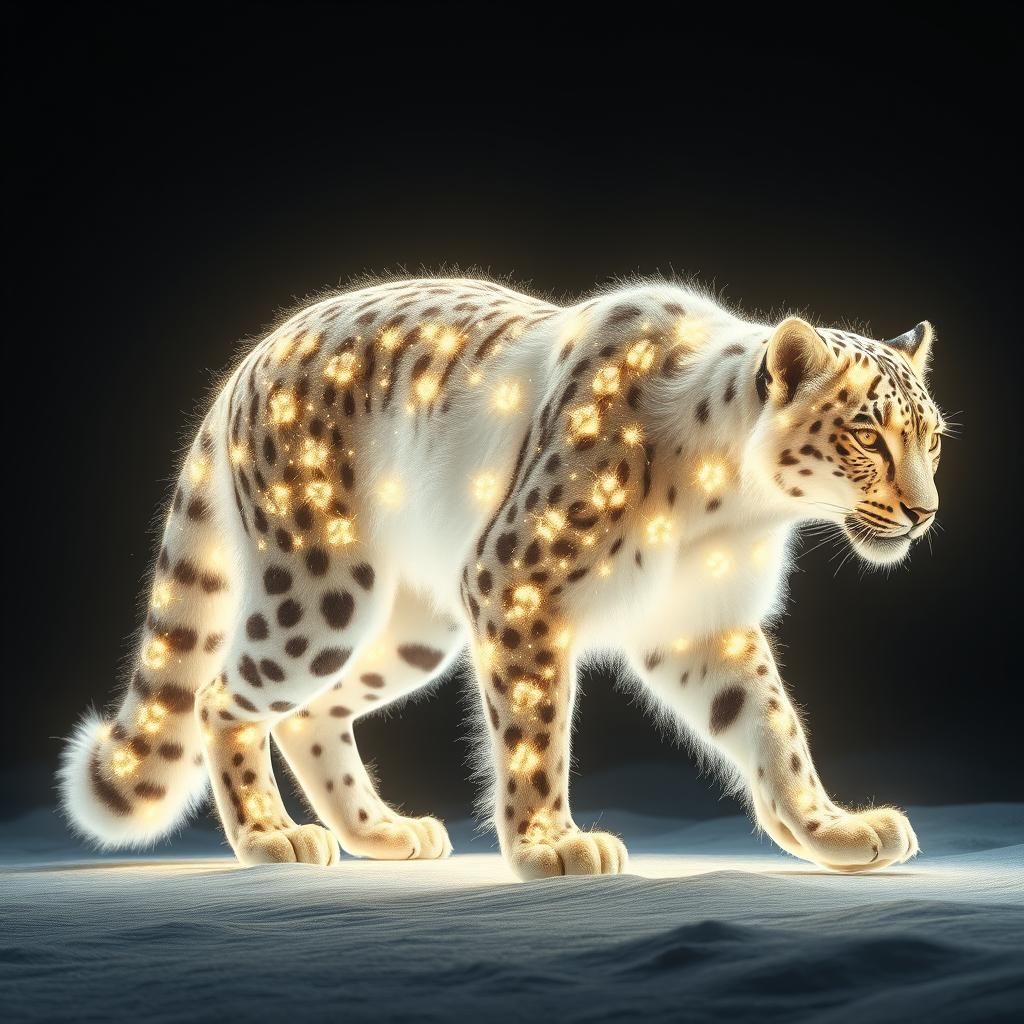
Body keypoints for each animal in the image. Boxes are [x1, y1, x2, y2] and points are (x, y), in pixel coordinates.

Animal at [59, 275, 944, 877]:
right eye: (868, 435)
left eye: (932, 437)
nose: (925, 511)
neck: (734, 514)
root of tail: (248, 362)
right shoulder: (520, 583)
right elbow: (535, 726)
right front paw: (551, 845)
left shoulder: (700, 619)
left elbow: (772, 725)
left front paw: (831, 828)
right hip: (320, 596)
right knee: (222, 696)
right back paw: (271, 836)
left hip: (412, 628)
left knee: (311, 713)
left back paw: (383, 830)